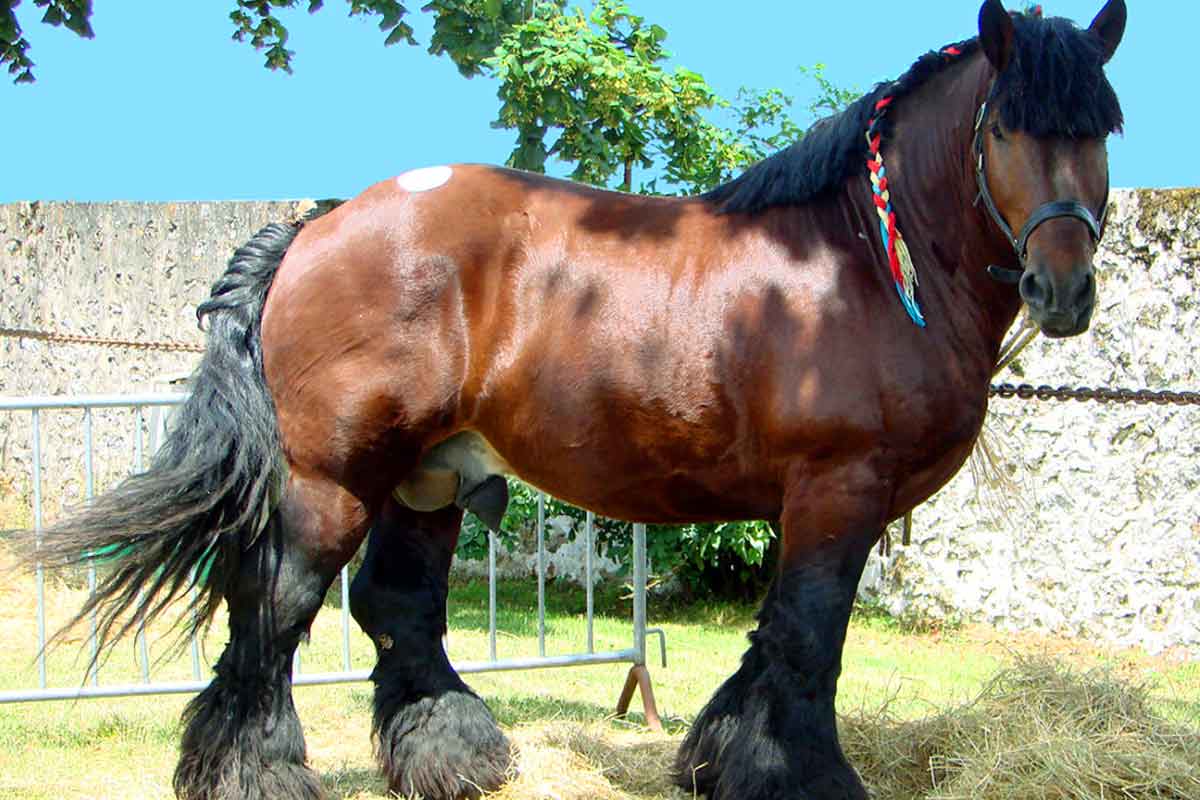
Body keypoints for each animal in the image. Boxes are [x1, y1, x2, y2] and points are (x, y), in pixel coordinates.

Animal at [18, 1, 1125, 798]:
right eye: (1008, 126)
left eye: (1103, 129)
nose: (1063, 289)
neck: (857, 260)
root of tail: (317, 227)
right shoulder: (837, 488)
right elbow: (810, 637)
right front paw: (801, 776)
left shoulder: (808, 503)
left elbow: (774, 639)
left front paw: (720, 758)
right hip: (332, 477)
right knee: (275, 606)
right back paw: (261, 774)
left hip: (426, 477)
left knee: (395, 605)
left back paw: (454, 754)